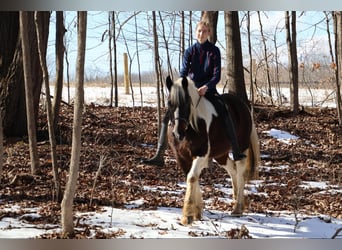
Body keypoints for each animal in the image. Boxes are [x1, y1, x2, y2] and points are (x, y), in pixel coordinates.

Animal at [166, 75, 260, 226]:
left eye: (186, 103)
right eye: (169, 103)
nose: (177, 133)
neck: (193, 124)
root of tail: (243, 106)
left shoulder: (201, 154)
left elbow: (192, 177)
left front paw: (187, 215)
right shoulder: (181, 157)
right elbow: (191, 176)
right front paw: (197, 211)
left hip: (241, 147)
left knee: (241, 172)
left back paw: (238, 207)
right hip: (221, 154)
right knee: (232, 169)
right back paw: (236, 197)